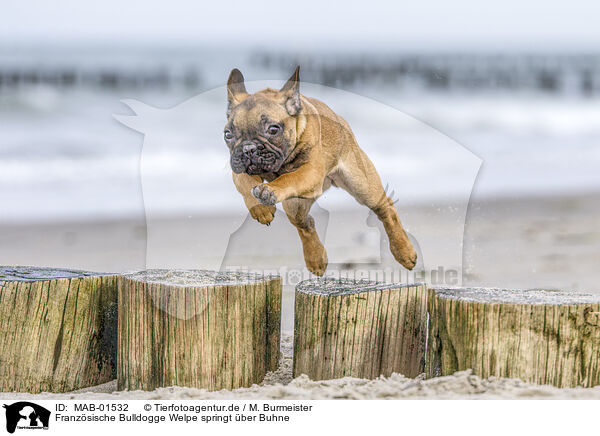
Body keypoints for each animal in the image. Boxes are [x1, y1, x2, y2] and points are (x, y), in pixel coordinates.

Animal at [223, 66, 414, 274]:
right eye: (228, 134)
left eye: (273, 130)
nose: (248, 148)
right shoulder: (237, 165)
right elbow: (244, 180)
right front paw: (260, 208)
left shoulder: (310, 172)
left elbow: (289, 178)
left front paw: (269, 191)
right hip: (294, 204)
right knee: (305, 224)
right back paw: (315, 259)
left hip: (362, 185)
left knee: (385, 208)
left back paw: (404, 251)